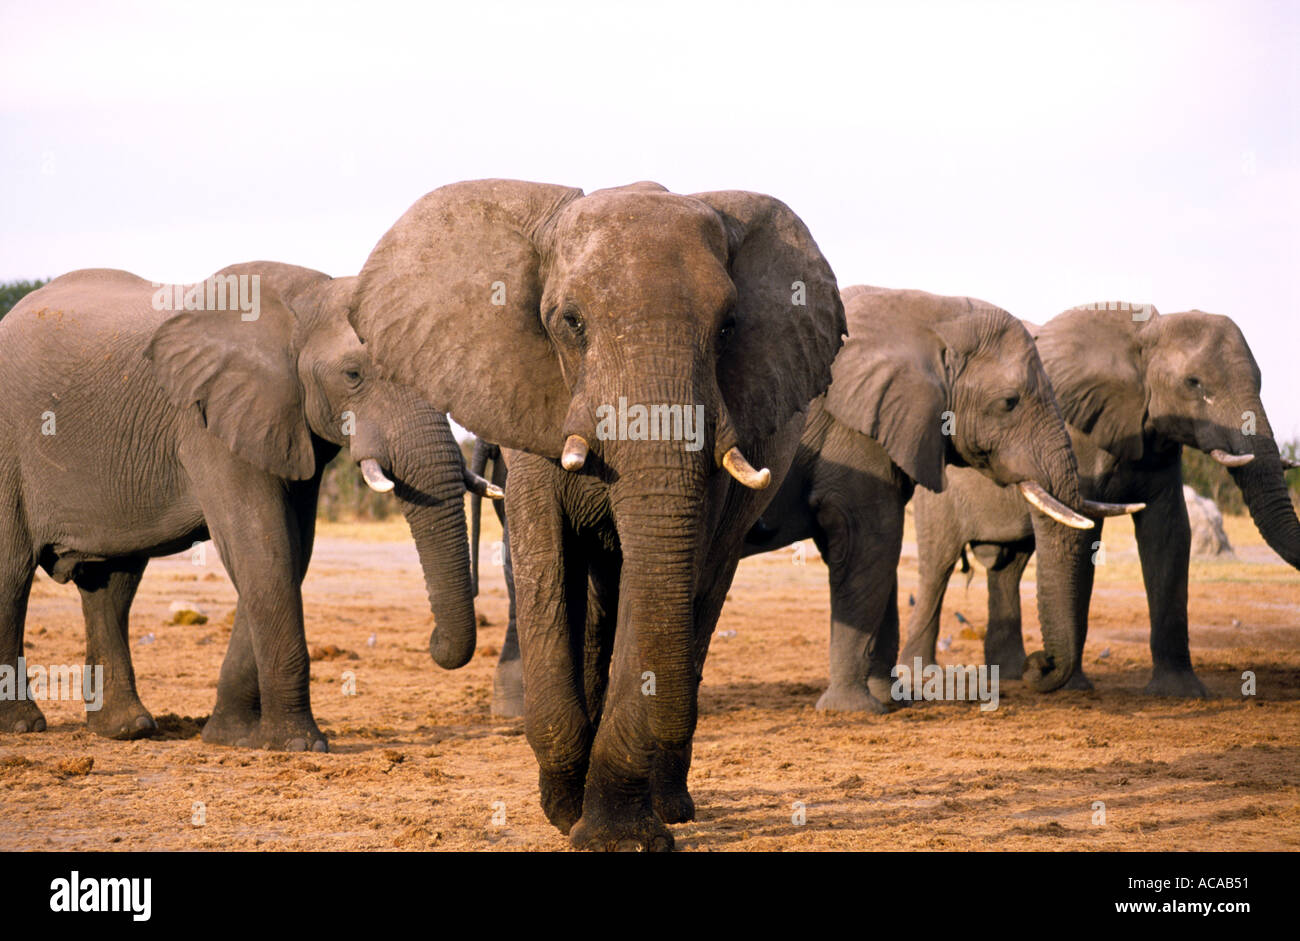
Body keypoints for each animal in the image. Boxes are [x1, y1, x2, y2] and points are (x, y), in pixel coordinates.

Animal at [0, 262, 496, 748]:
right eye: (353, 375)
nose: (433, 642)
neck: (309, 298)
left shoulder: (289, 426)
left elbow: (291, 553)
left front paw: (231, 738)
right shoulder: (206, 422)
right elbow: (262, 547)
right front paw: (299, 745)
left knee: (112, 584)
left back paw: (128, 729)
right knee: (12, 573)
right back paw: (23, 725)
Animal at [743, 287, 1138, 712]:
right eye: (1009, 402)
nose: (1040, 665)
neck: (933, 316)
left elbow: (880, 552)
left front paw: (893, 699)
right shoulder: (850, 434)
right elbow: (870, 540)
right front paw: (854, 709)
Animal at [904, 302, 1300, 696]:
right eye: (1194, 383)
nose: (1043, 661)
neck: (1143, 334)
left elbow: (1169, 534)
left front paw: (1181, 691)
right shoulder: (1079, 436)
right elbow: (1084, 536)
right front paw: (1074, 688)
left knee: (1009, 568)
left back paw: (1013, 672)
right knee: (938, 567)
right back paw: (926, 672)